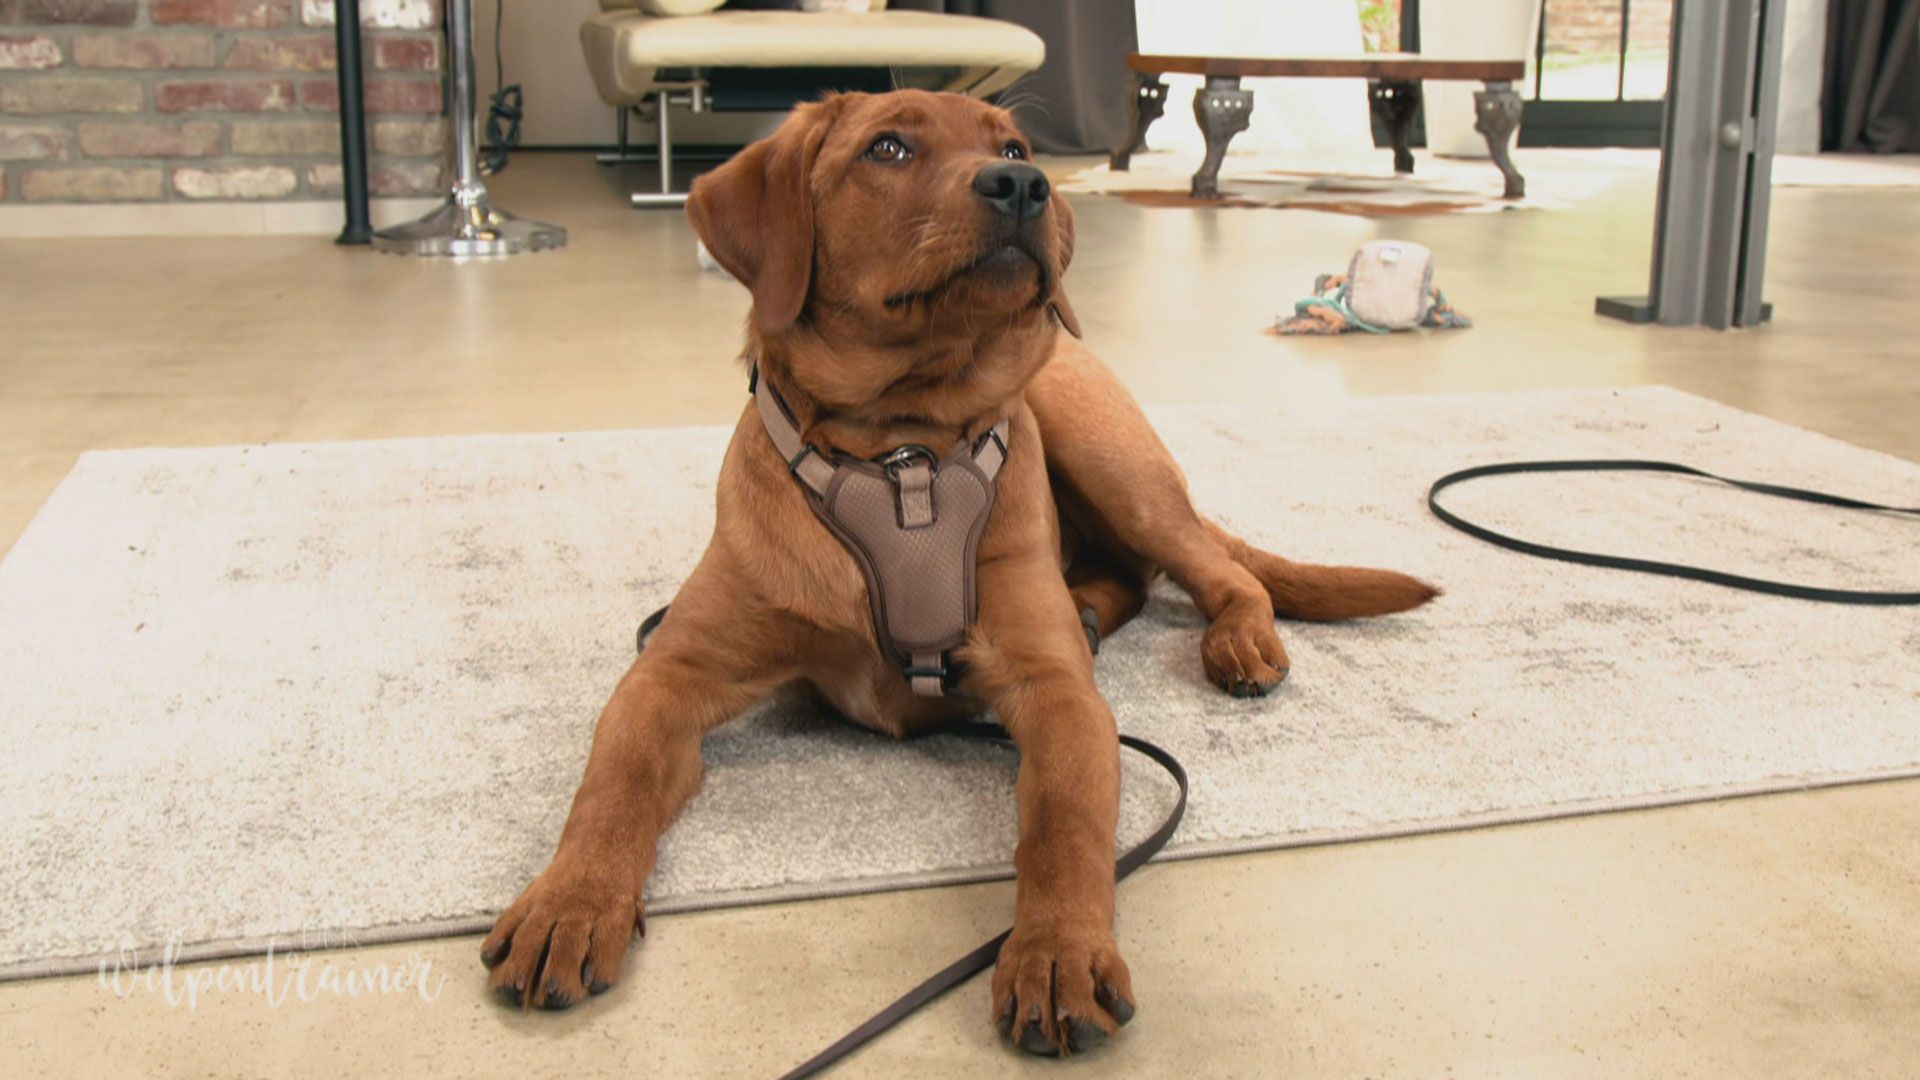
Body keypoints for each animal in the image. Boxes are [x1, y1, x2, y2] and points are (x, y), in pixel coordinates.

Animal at [482, 89, 1437, 1056]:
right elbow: (613, 782)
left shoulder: (1058, 693)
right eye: (887, 148)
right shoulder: (672, 670)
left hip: (1110, 456)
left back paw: (1239, 642)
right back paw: (1095, 610)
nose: (1024, 185)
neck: (900, 451)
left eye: (1012, 147)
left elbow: (1064, 826)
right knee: (1127, 575)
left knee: (1218, 574)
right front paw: (570, 901)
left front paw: (1058, 951)